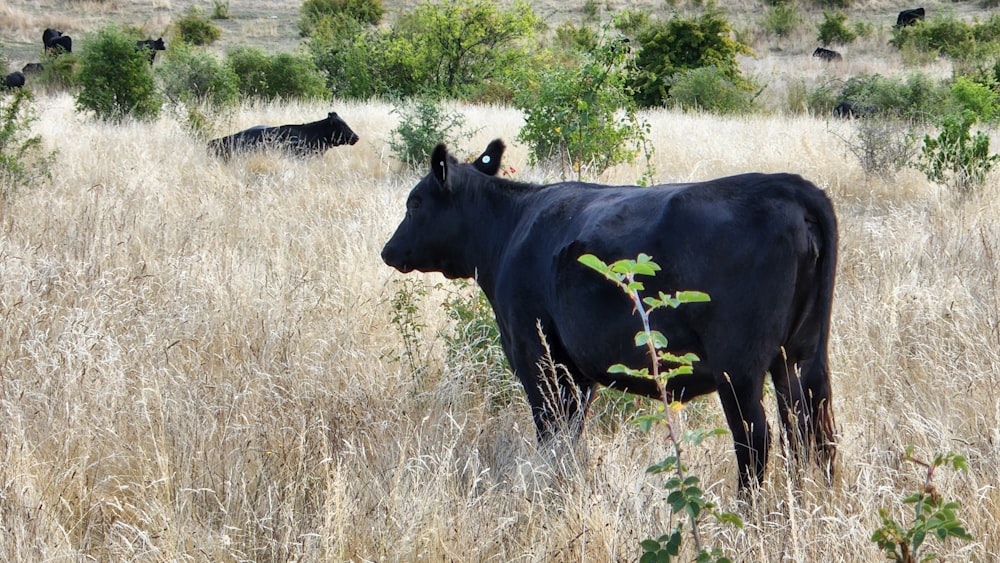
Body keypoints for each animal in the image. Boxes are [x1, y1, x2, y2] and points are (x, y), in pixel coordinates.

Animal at [378, 139, 840, 492]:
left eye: (415, 203)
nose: (388, 250)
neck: (509, 230)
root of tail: (787, 185)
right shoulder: (578, 371)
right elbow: (571, 432)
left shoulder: (535, 354)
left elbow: (550, 428)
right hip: (802, 354)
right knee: (813, 425)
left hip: (739, 366)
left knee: (755, 436)